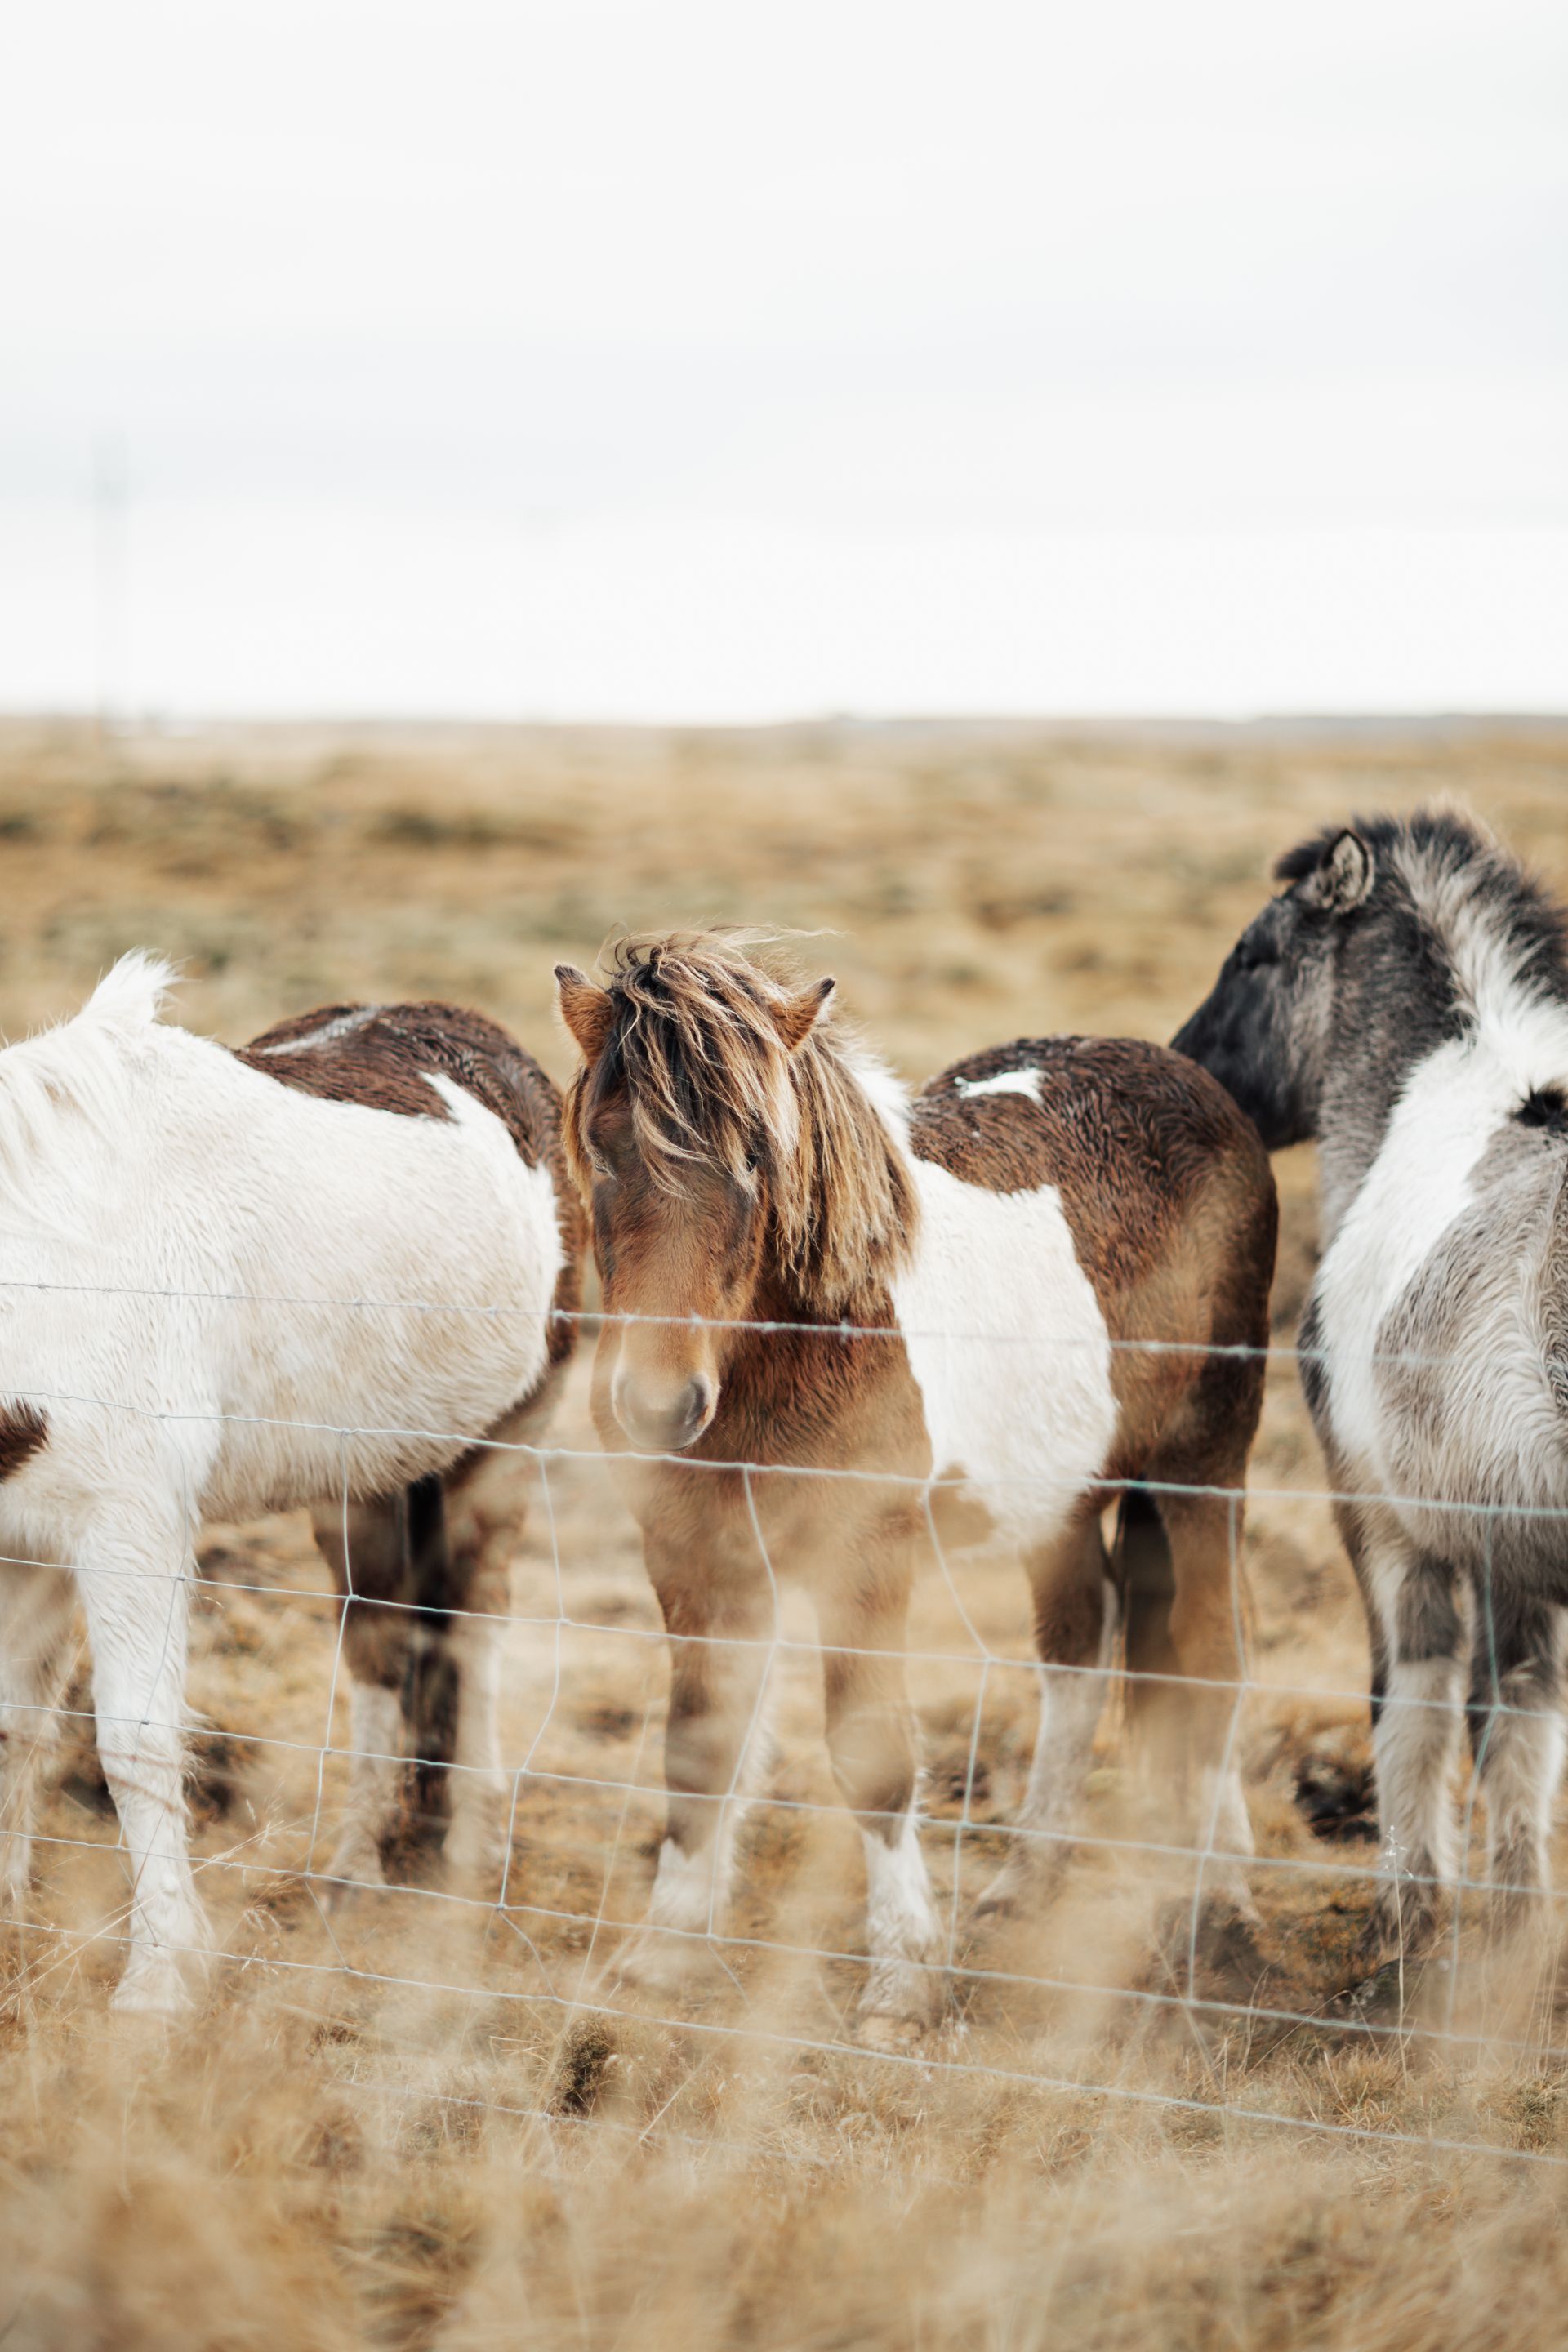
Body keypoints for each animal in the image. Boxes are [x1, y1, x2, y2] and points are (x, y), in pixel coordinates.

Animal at [0, 956, 583, 2012]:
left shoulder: (130, 1531)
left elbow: (135, 1741)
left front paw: (160, 1981)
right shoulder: (24, 1538)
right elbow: (15, 1730)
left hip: (503, 1456)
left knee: (474, 1639)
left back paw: (470, 1867)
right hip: (362, 1489)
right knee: (384, 1649)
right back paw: (355, 1871)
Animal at [553, 934, 1276, 2040]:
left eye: (758, 1157)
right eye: (599, 1148)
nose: (657, 1405)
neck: (807, 1339)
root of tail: (1197, 1083)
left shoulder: (864, 1561)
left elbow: (874, 1759)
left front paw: (902, 1981)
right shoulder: (695, 1557)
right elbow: (701, 1747)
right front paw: (664, 1953)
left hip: (1206, 1462)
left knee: (1211, 1654)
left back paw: (1222, 1892)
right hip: (1057, 1498)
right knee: (1083, 1644)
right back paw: (1030, 1878)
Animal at [1173, 808, 1568, 1957]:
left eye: (1254, 954)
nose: (1186, 1067)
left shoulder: (1388, 1526)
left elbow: (1417, 1706)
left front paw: (1411, 1916)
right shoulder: (1516, 1552)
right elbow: (1524, 1720)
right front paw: (1517, 1931)